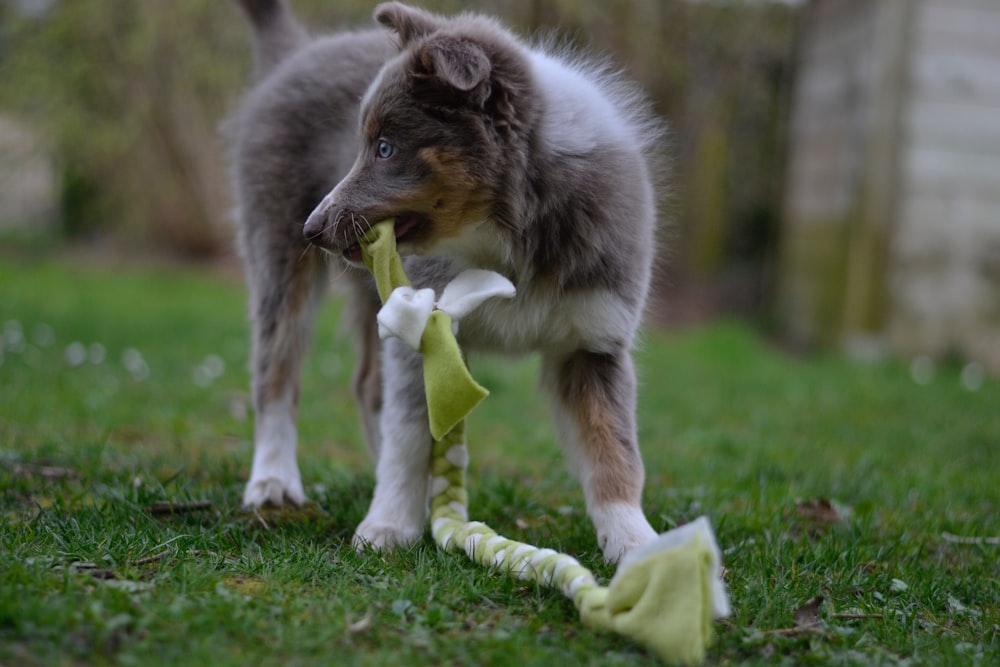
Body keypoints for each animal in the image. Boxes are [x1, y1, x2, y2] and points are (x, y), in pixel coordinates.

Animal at [230, 0, 668, 564]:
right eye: (364, 145)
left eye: (386, 148)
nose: (312, 229)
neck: (507, 235)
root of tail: (297, 53)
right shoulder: (422, 327)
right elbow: (408, 433)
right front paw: (388, 523)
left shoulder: (594, 342)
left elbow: (613, 447)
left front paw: (635, 541)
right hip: (279, 260)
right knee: (276, 373)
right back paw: (273, 483)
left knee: (365, 386)